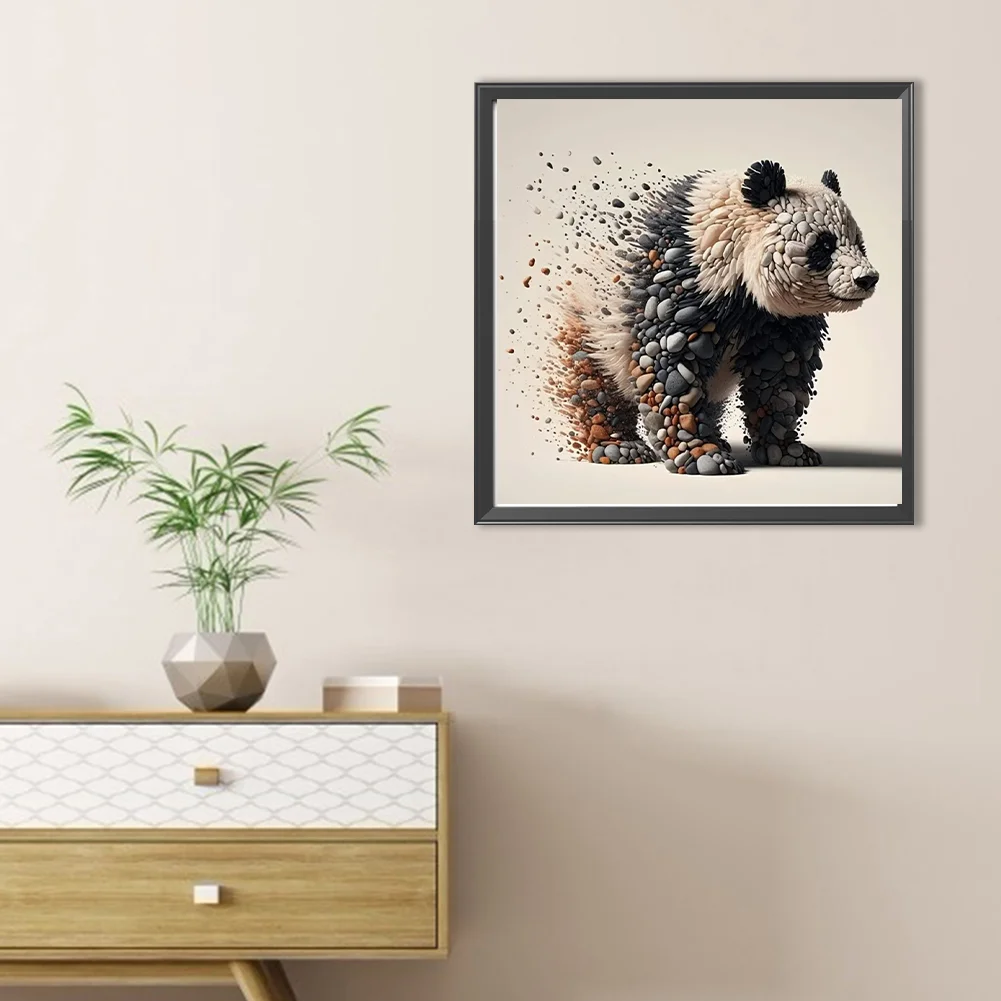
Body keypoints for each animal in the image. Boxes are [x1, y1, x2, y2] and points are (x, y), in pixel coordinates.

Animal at [567, 160, 879, 474]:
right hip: (591, 319)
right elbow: (669, 368)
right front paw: (702, 456)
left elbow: (780, 376)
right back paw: (619, 446)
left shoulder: (779, 319)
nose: (867, 279)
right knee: (594, 384)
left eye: (859, 243)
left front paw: (788, 451)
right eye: (823, 246)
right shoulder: (678, 281)